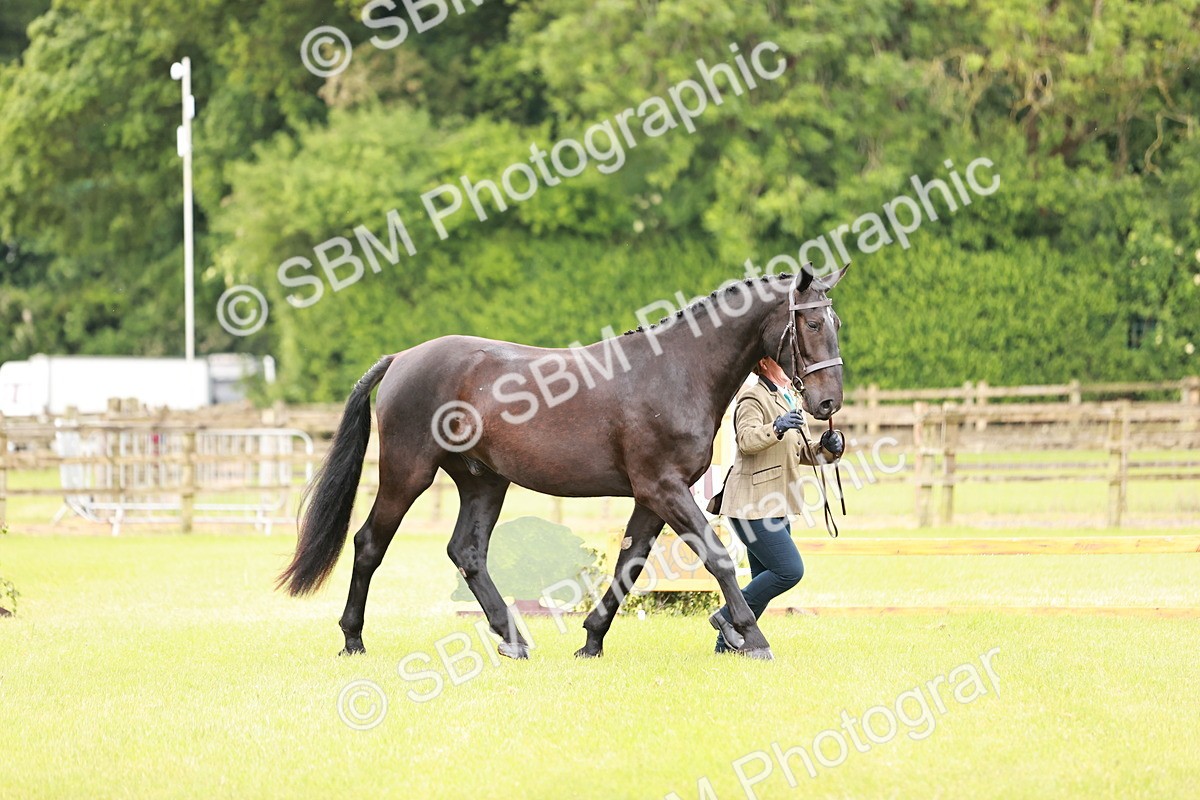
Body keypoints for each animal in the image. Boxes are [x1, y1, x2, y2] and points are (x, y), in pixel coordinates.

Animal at [278, 266, 848, 660]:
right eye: (811, 321)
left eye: (835, 321)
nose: (827, 403)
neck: (677, 370)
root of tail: (402, 358)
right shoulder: (664, 488)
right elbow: (718, 558)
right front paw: (751, 636)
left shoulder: (652, 496)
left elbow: (627, 565)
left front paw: (591, 641)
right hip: (408, 473)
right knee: (369, 544)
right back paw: (353, 638)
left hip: (484, 482)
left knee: (467, 552)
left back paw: (512, 638)